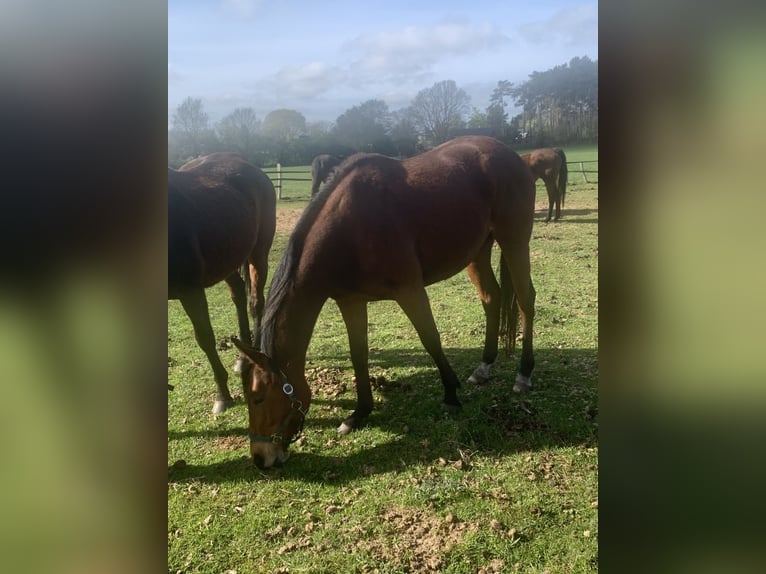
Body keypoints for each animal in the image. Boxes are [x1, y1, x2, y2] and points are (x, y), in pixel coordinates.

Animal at [168, 153, 276, 414]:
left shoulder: (190, 291)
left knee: (256, 302)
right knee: (238, 293)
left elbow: (205, 338)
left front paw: (222, 395)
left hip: (258, 254)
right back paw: (243, 358)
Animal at [234, 136, 536, 469]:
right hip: (477, 252)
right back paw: (484, 367)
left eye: (259, 397)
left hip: (515, 241)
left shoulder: (410, 290)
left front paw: (450, 395)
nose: (260, 459)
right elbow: (359, 355)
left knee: (526, 301)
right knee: (491, 299)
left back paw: (524, 374)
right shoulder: (351, 302)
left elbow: (431, 340)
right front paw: (359, 413)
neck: (350, 229)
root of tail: (510, 155)